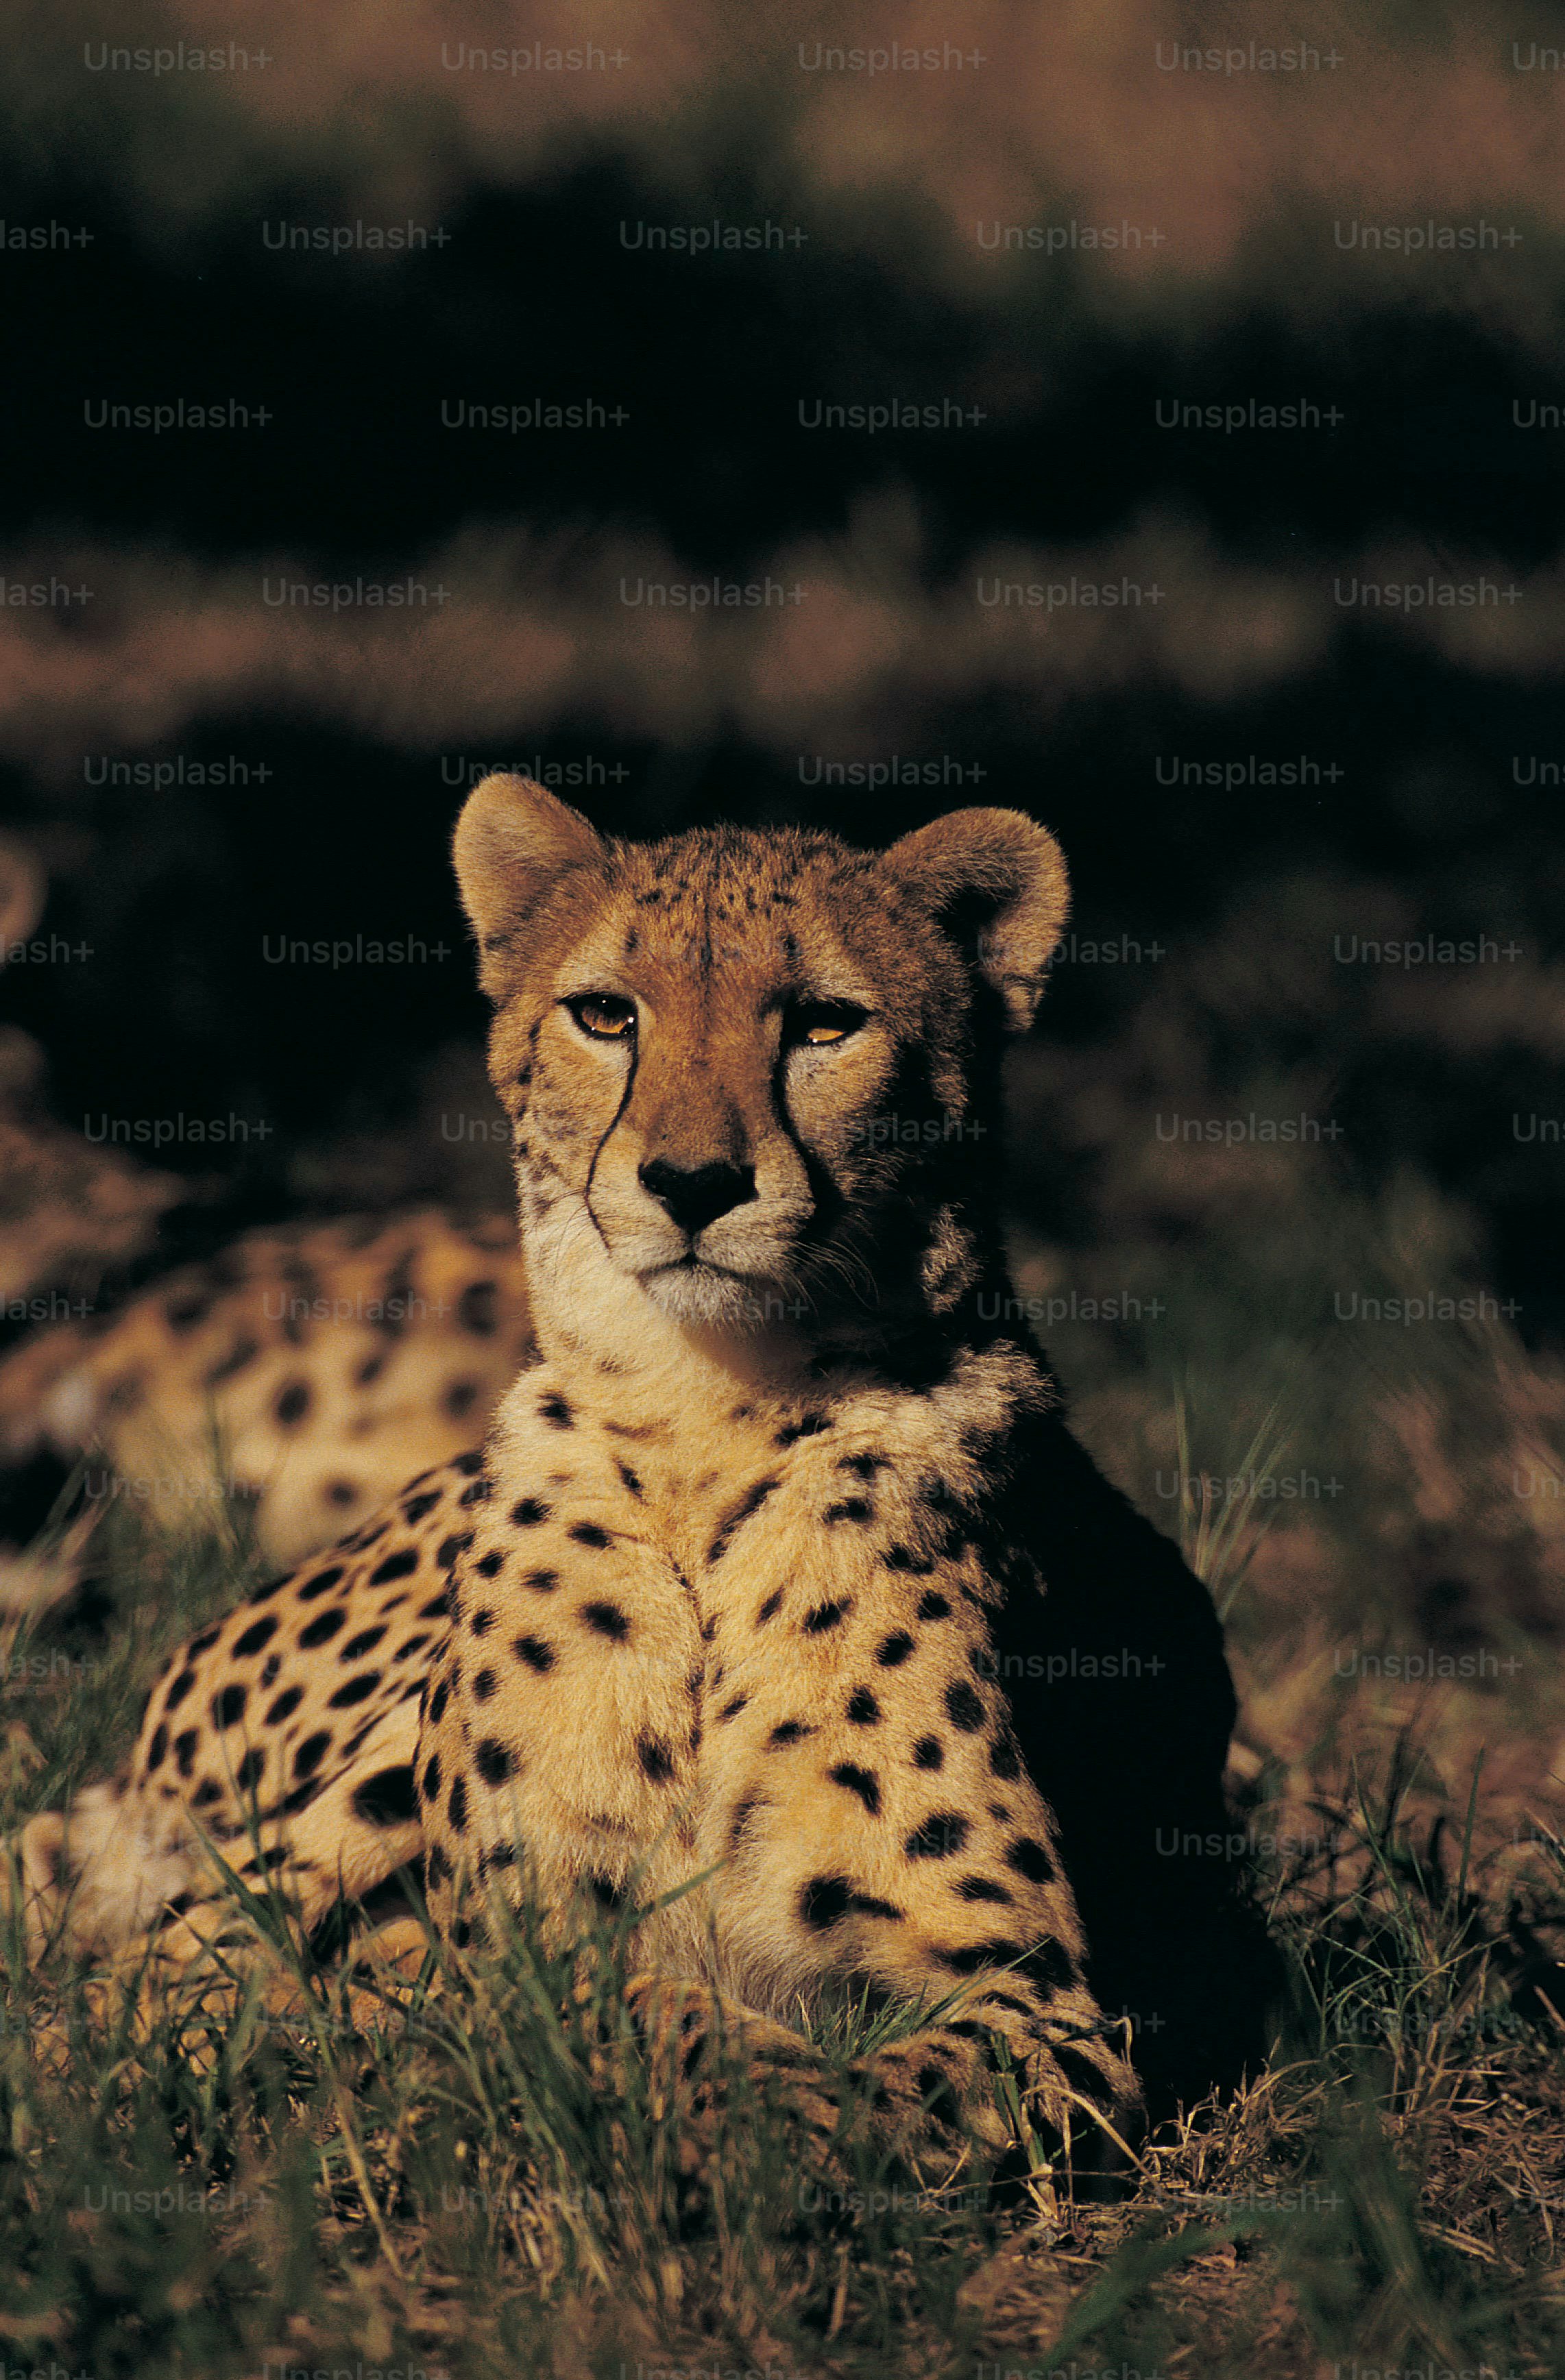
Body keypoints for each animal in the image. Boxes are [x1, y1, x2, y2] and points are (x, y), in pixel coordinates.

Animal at [10, 776, 1277, 2170]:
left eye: (824, 1021)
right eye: (607, 1014)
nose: (692, 1182)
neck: (704, 1412)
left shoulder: (1031, 1998)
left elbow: (855, 2069)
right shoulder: (516, 1930)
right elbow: (622, 2001)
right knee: (135, 1941)